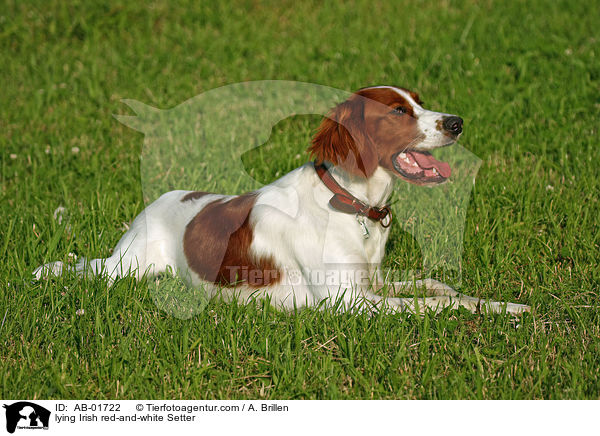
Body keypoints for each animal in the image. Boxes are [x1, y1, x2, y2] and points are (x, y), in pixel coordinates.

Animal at [32, 86, 528, 314]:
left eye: (419, 102)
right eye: (398, 111)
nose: (457, 122)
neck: (350, 201)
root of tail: (159, 200)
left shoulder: (371, 282)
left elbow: (437, 286)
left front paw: (487, 299)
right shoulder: (349, 301)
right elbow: (437, 304)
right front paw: (501, 311)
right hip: (129, 267)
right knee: (83, 267)